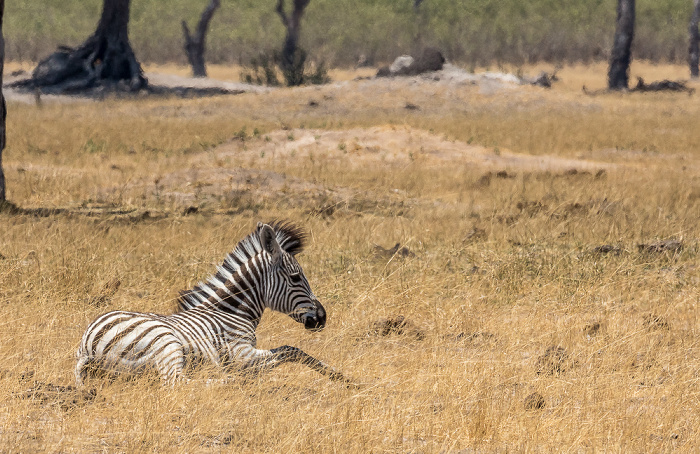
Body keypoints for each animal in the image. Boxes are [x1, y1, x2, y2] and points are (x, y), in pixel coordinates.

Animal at [76, 222, 350, 384]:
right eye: (295, 278)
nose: (323, 317)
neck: (232, 311)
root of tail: (90, 344)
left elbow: (293, 352)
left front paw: (340, 376)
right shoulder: (241, 352)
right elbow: (291, 351)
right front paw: (340, 376)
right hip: (166, 343)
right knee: (179, 382)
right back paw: (227, 380)